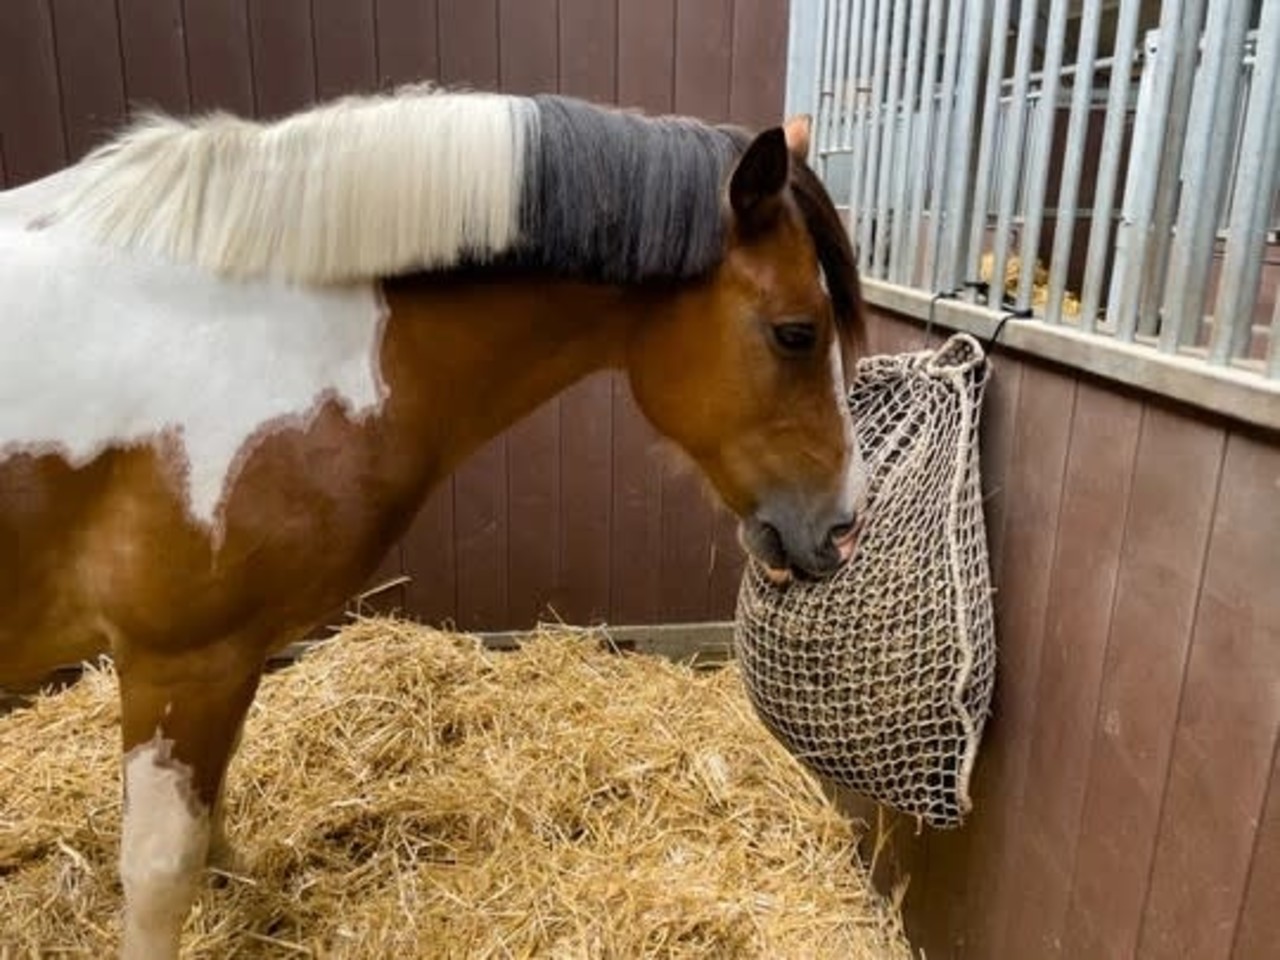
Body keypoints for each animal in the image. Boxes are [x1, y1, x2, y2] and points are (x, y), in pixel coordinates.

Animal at [0, 86, 866, 958]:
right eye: (797, 333)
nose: (842, 526)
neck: (263, 333)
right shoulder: (181, 662)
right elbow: (160, 871)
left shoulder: (230, 660)